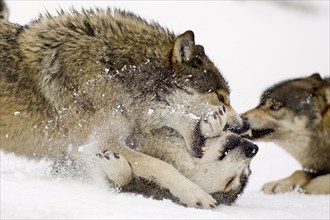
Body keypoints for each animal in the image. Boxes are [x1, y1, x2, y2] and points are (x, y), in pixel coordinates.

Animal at [0, 7, 255, 207]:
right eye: (221, 98)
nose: (244, 127)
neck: (117, 76)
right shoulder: (98, 142)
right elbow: (161, 165)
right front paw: (195, 194)